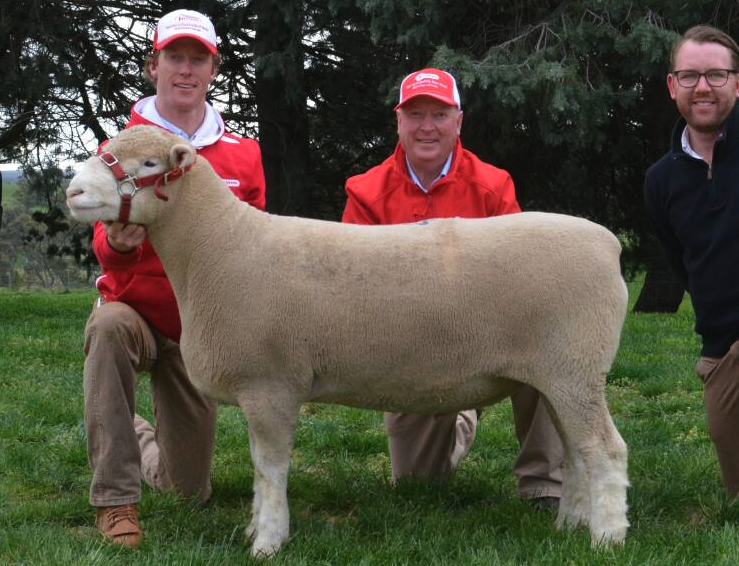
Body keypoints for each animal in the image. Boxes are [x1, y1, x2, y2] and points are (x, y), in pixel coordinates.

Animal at [66, 125, 632, 560]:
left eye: (147, 162)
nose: (72, 192)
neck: (219, 247)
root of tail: (608, 244)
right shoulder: (262, 388)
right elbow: (260, 469)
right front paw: (256, 529)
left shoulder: (272, 384)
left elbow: (269, 469)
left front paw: (267, 542)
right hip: (558, 374)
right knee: (576, 451)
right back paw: (569, 526)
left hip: (575, 367)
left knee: (605, 450)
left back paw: (607, 539)